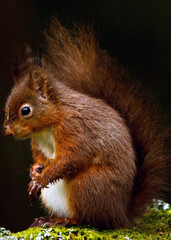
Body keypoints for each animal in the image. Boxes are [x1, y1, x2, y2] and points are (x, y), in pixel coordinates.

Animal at [3, 19, 170, 228]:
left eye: (25, 110)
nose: (7, 131)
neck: (47, 127)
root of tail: (120, 214)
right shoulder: (39, 143)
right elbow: (41, 157)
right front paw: (35, 171)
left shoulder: (75, 129)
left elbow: (71, 157)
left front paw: (41, 178)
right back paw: (47, 218)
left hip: (86, 184)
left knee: (88, 218)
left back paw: (63, 220)